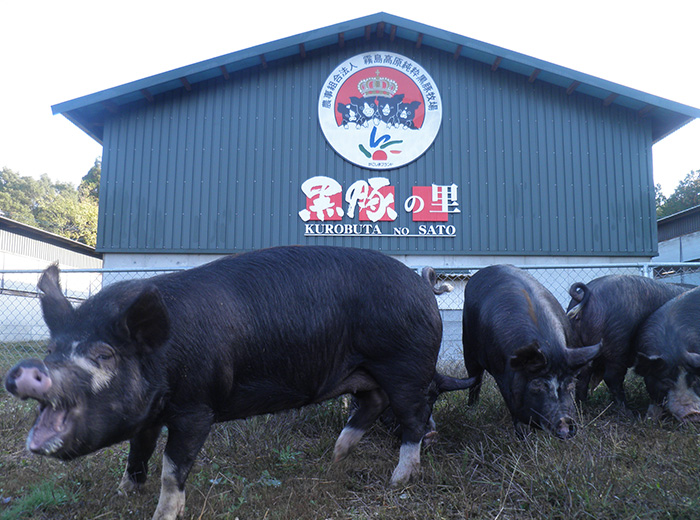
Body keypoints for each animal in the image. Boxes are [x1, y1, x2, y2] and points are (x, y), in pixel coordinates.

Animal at [6, 247, 448, 520]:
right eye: (52, 349)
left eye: (104, 355)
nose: (27, 369)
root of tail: (422, 285)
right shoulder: (149, 413)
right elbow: (138, 451)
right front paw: (123, 493)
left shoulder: (196, 408)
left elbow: (172, 466)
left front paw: (161, 514)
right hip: (365, 372)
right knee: (372, 404)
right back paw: (335, 458)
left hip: (405, 363)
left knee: (413, 418)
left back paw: (398, 479)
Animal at [462, 264, 600, 438]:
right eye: (537, 385)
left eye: (570, 383)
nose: (565, 422)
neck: (549, 348)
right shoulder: (501, 374)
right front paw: (522, 436)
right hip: (468, 347)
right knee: (475, 379)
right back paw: (471, 409)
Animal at [568, 274, 688, 408]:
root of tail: (583, 295)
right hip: (617, 343)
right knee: (612, 377)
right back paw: (626, 409)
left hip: (579, 344)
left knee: (582, 375)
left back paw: (583, 405)